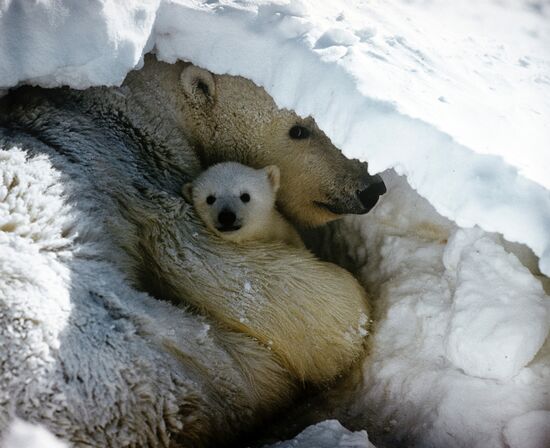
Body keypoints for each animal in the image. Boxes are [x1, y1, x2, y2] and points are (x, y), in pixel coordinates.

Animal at [0, 55, 388, 444]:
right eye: (298, 130)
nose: (371, 188)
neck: (140, 106)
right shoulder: (144, 172)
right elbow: (200, 259)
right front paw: (349, 319)